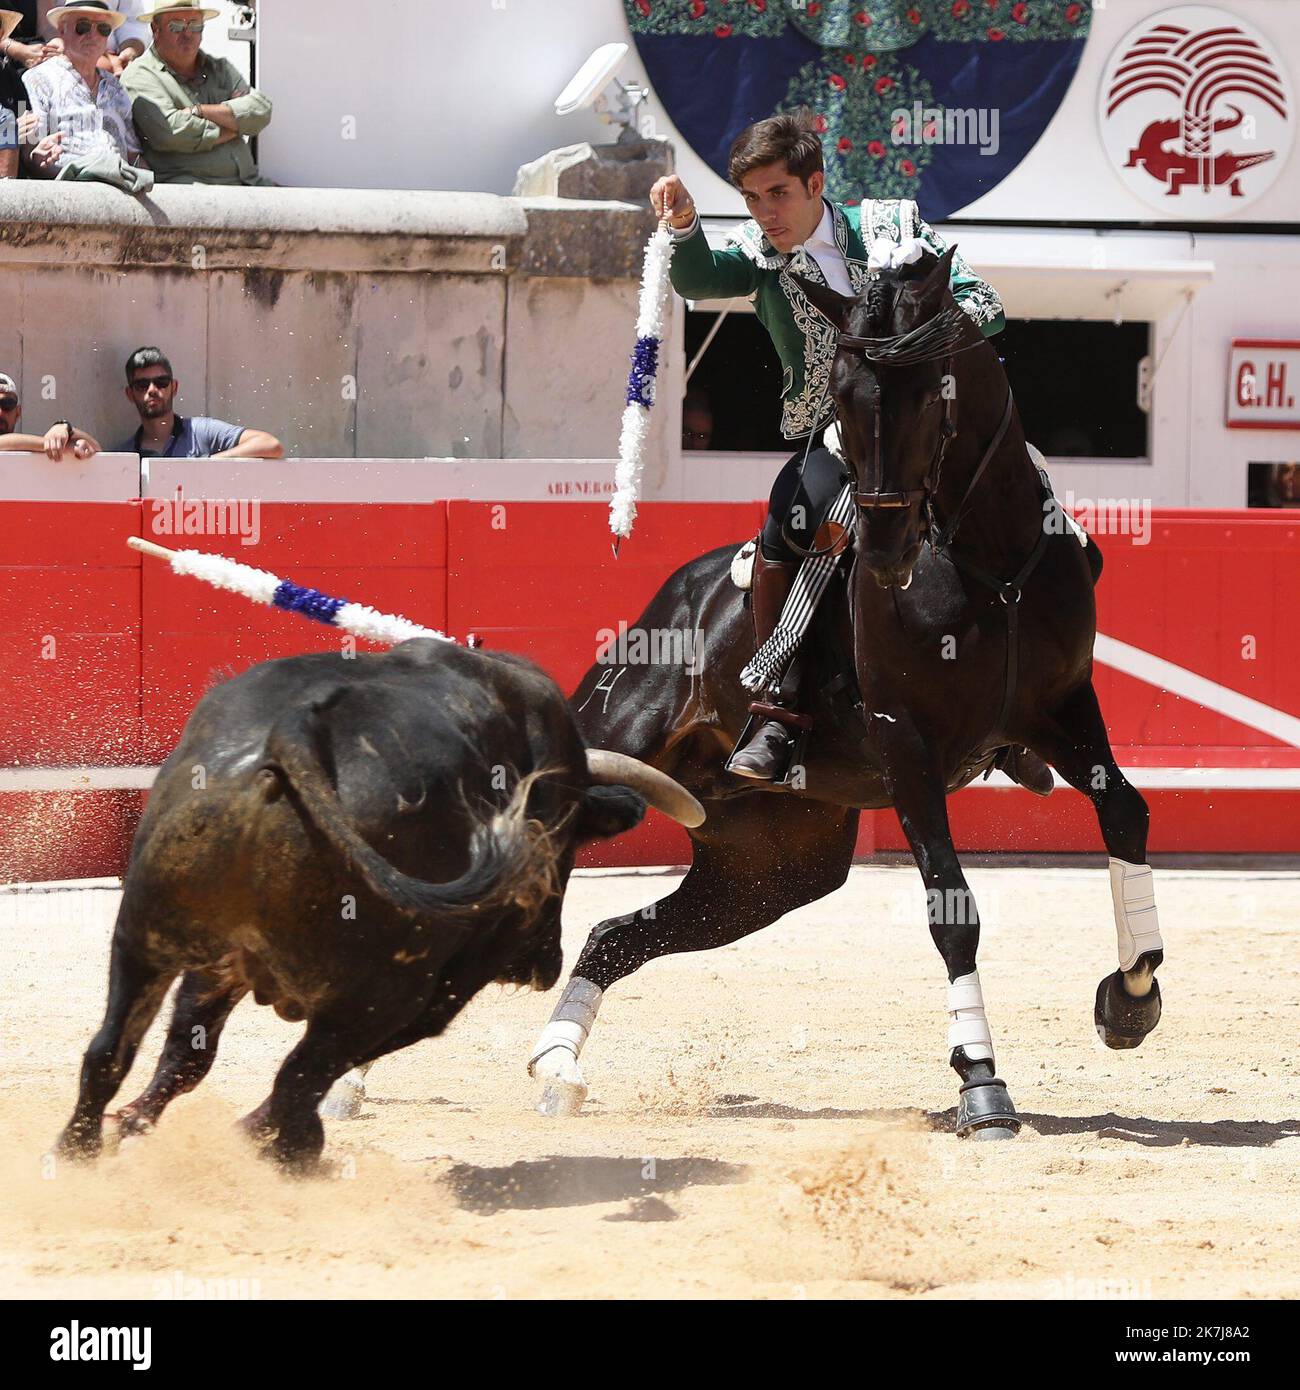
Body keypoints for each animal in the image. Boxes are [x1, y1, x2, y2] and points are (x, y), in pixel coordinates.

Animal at [61, 644, 706, 1167]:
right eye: (567, 851)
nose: (542, 965)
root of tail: (294, 735)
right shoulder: (434, 994)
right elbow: (304, 1072)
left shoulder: (223, 962)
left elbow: (186, 1055)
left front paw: (134, 1129)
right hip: (395, 989)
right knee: (297, 1077)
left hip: (143, 932)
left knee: (109, 1050)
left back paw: (79, 1151)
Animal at [528, 247, 1167, 1139]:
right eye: (840, 398)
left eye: (930, 390)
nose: (887, 547)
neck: (989, 559)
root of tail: (671, 600)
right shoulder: (906, 739)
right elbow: (951, 906)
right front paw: (982, 1086)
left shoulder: (1064, 708)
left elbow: (1126, 814)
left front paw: (1132, 1000)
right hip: (615, 744)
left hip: (767, 871)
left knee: (616, 934)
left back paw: (557, 1067)